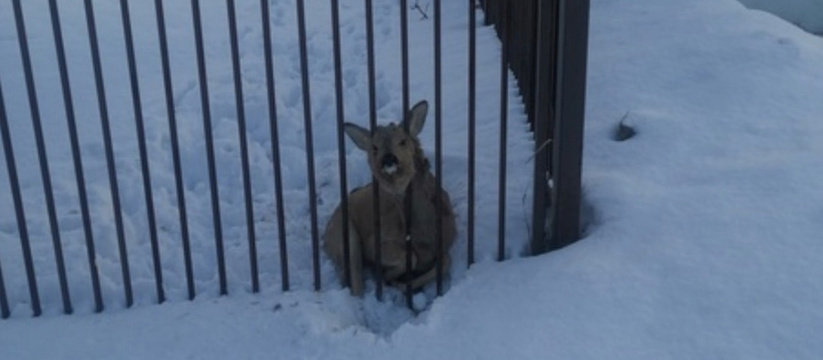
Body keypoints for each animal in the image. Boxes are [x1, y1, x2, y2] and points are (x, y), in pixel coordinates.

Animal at [326, 100, 460, 296]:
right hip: (344, 235)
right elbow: (409, 258)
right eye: (374, 148)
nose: (388, 159)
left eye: (403, 141)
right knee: (356, 282)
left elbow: (445, 262)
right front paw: (389, 277)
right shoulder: (375, 242)